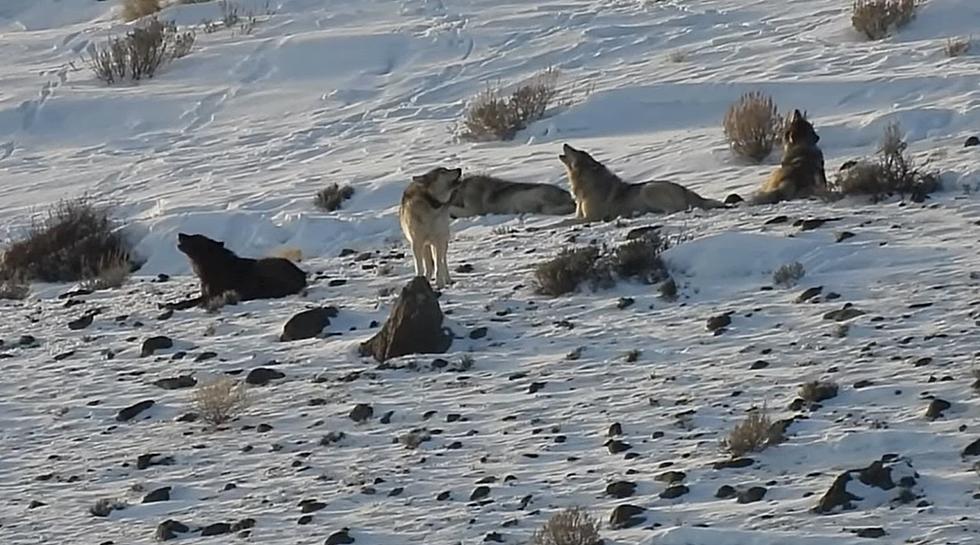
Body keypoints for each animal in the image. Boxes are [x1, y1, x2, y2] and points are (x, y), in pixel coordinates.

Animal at [556, 144, 724, 223]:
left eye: (575, 151)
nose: (565, 143)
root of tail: (685, 189)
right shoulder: (582, 217)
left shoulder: (591, 218)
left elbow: (562, 222)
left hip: (648, 189)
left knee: (676, 210)